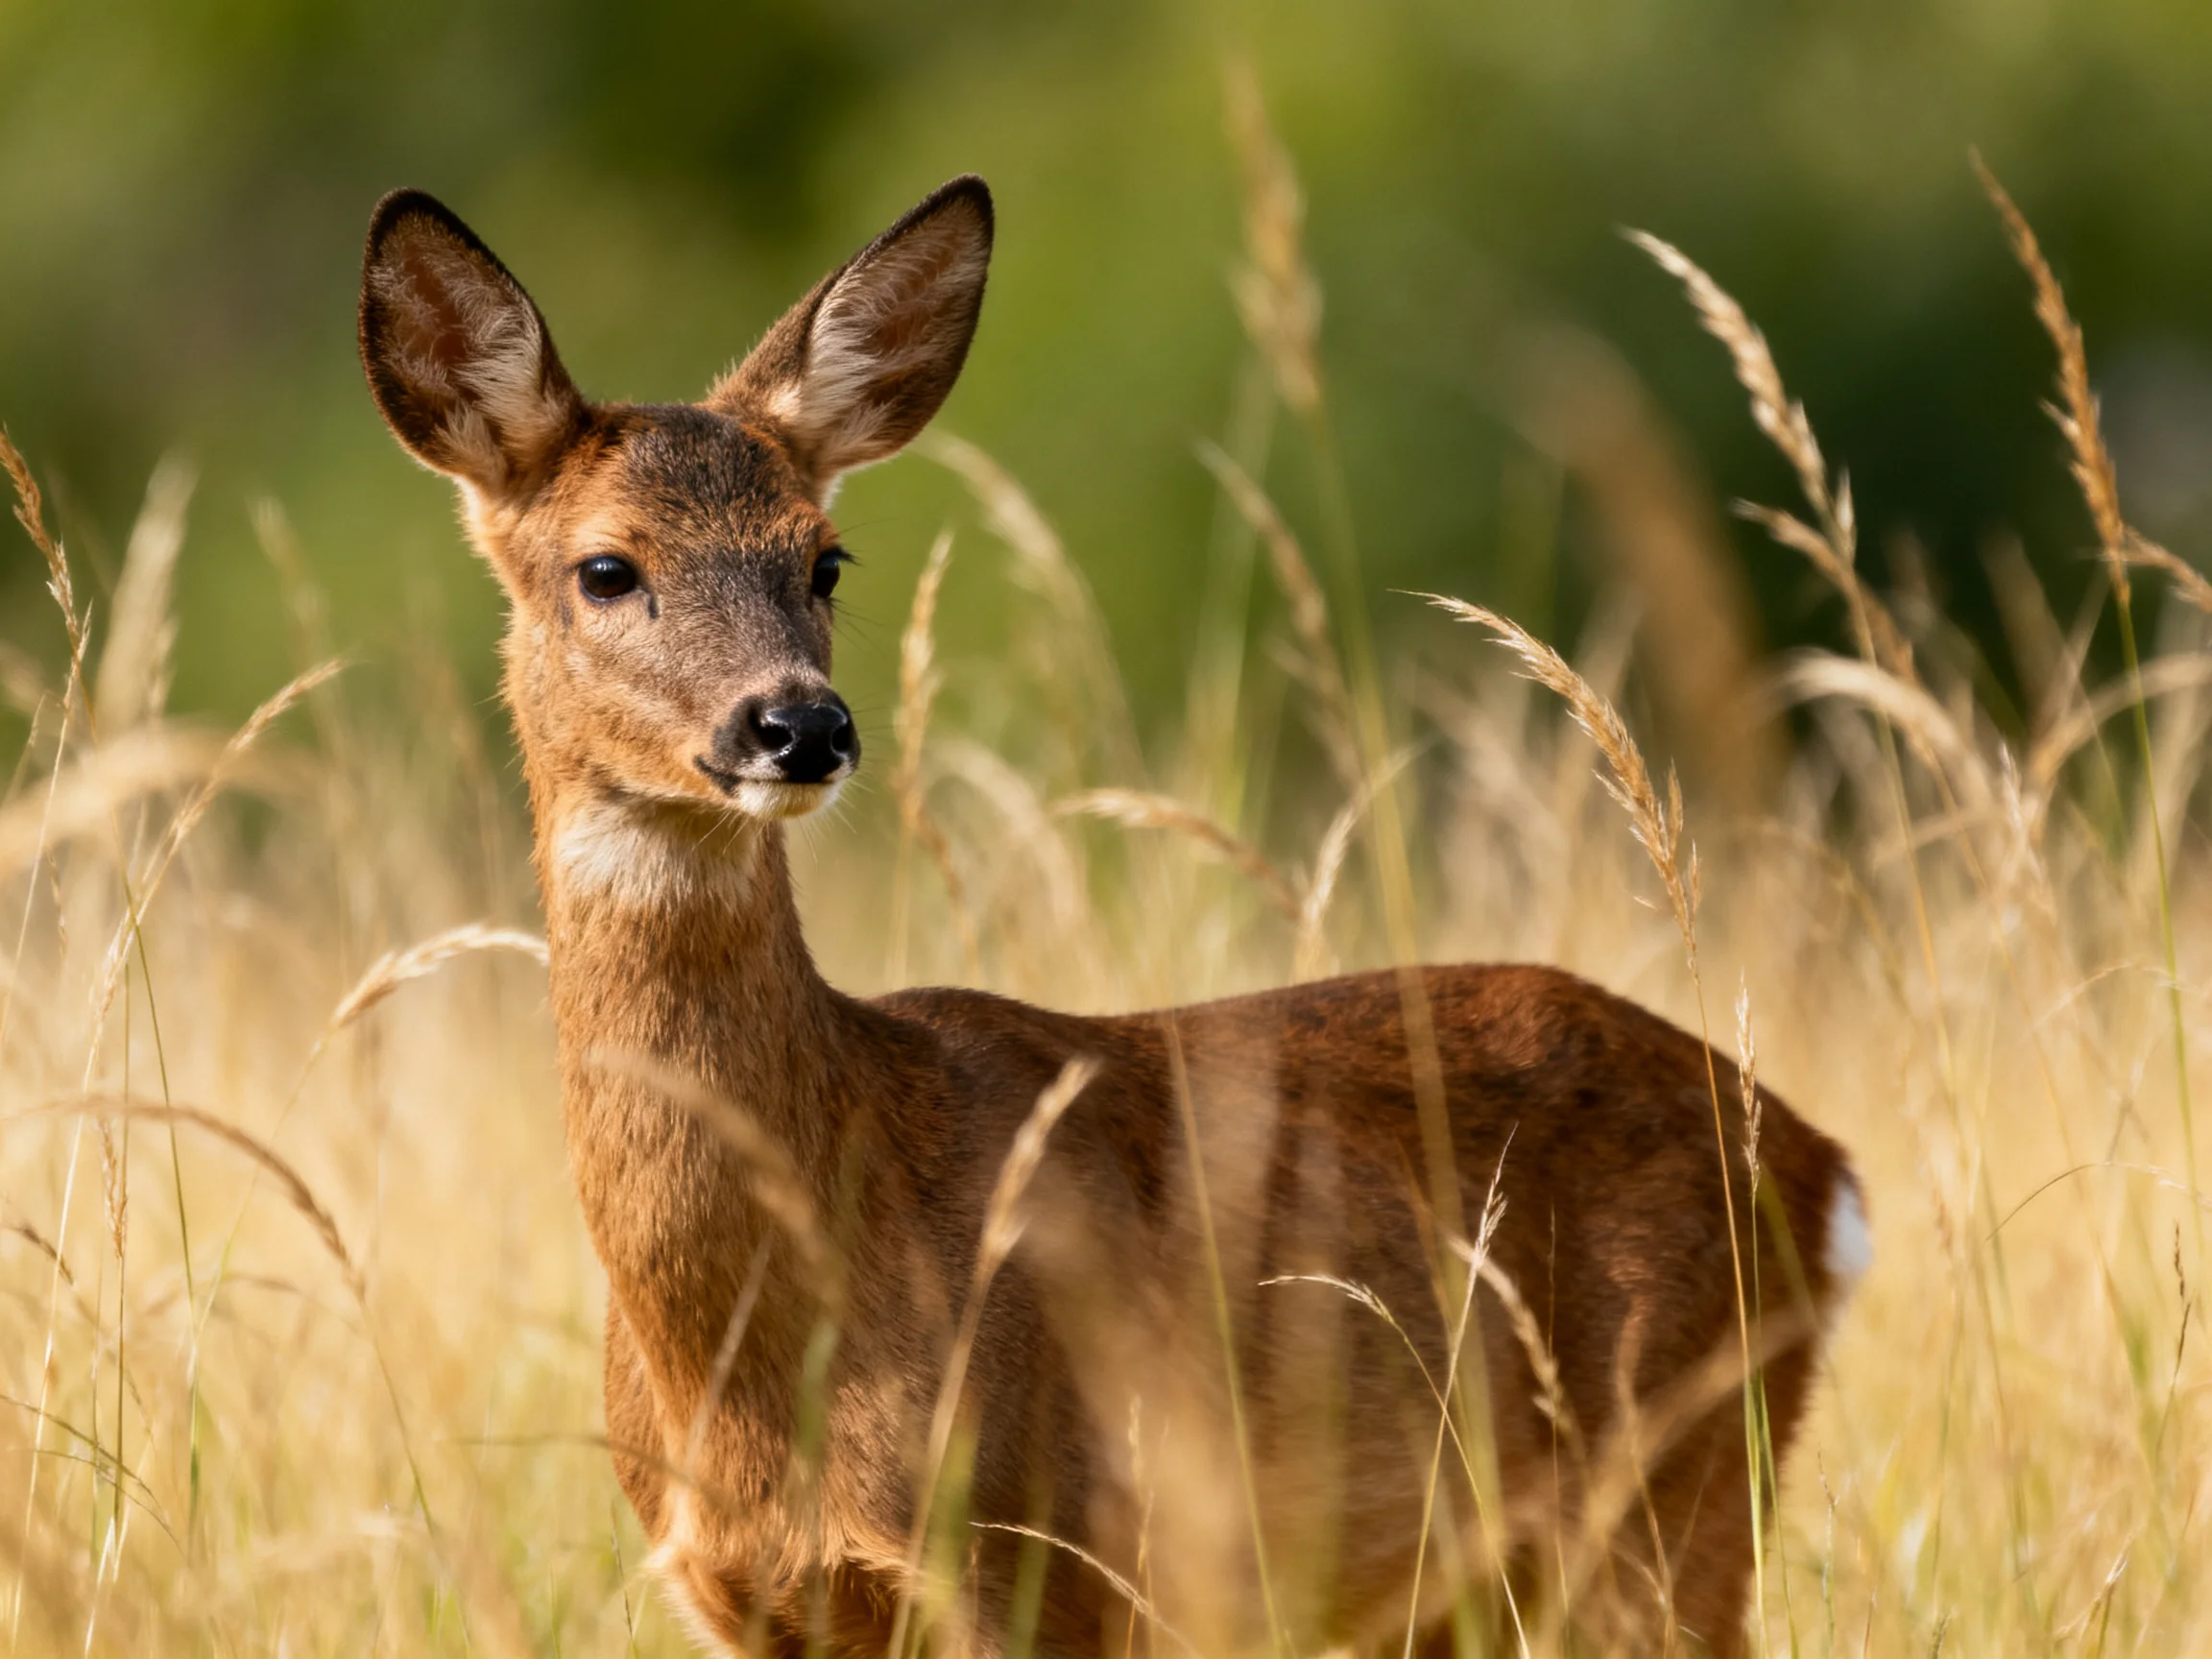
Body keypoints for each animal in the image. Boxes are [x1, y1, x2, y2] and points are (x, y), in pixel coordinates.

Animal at [357, 175, 1868, 1658]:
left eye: (827, 559)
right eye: (606, 569)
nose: (798, 726)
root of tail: (1824, 1165)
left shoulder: (1043, 1553)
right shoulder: (749, 1605)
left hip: (1673, 1489)